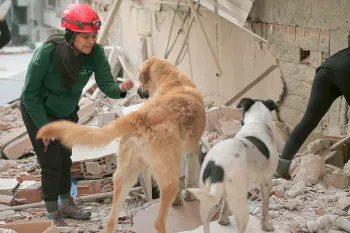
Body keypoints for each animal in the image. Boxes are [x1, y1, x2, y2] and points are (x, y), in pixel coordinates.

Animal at [37, 57, 206, 233]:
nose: (137, 91)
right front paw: (188, 195)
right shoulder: (192, 151)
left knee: (111, 220)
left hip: (126, 176)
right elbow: (190, 178)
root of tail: (138, 117)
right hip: (168, 178)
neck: (172, 80)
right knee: (158, 221)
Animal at [189, 97, 278, 233]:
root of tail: (218, 166)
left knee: (206, 224)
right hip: (241, 205)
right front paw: (266, 226)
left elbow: (224, 206)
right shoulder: (267, 182)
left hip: (206, 200)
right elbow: (265, 207)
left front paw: (223, 221)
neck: (257, 121)